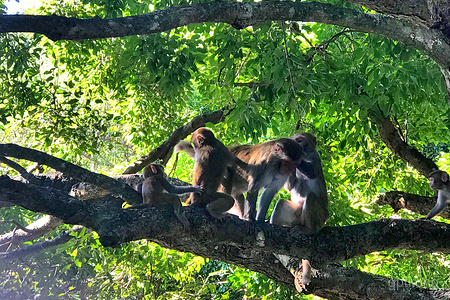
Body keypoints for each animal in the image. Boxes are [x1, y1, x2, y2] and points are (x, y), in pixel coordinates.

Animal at [268, 132, 328, 290]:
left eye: (300, 140)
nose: (296, 145)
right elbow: (290, 187)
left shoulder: (315, 157)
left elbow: (312, 172)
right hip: (295, 216)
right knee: (281, 203)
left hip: (320, 218)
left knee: (311, 197)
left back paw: (308, 230)